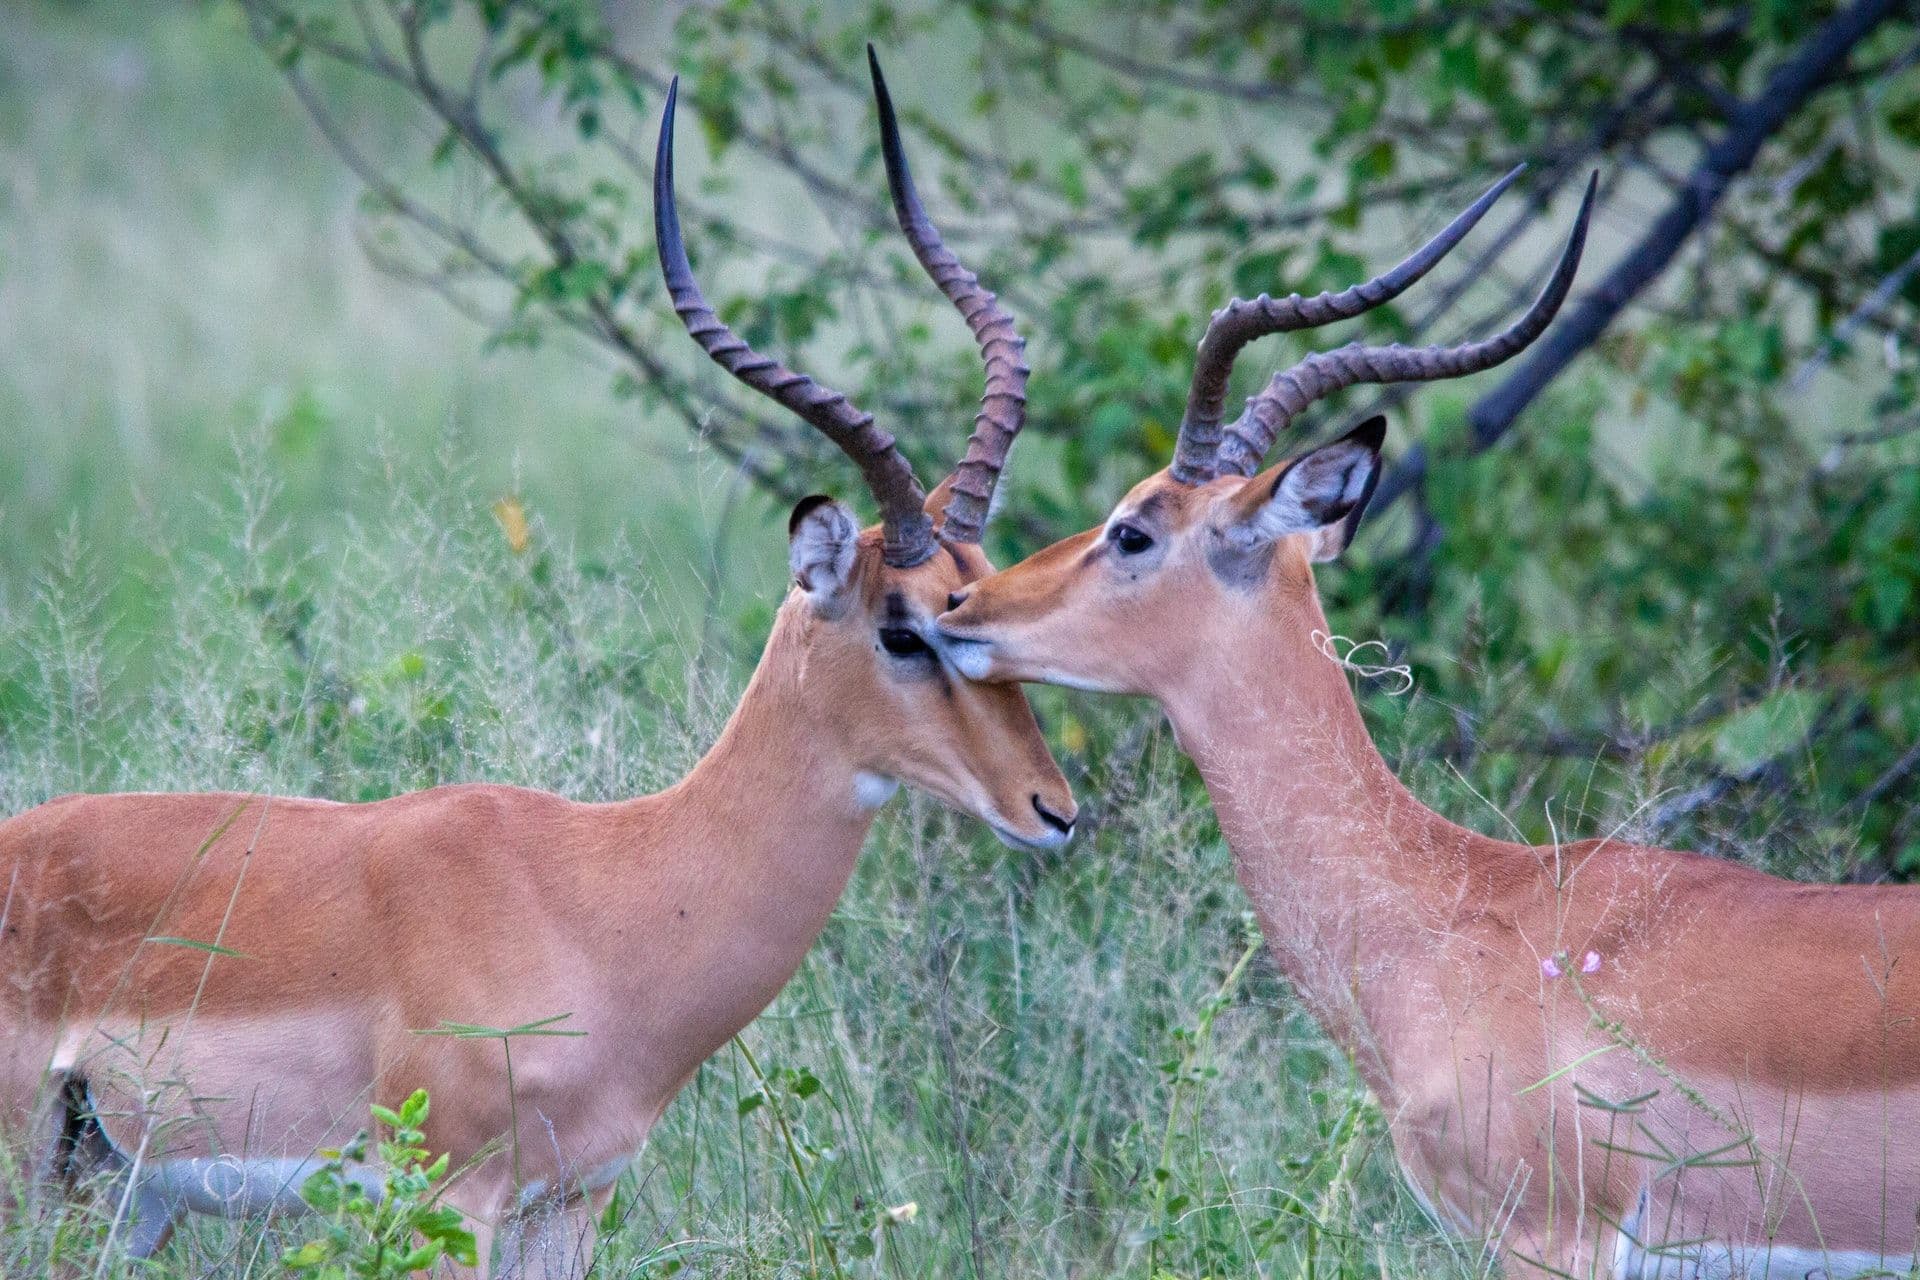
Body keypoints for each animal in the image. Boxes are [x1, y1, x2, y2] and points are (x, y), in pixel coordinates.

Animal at [0, 56, 1076, 1277]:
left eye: (982, 590)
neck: (601, 895)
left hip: (116, 1199)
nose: (1053, 808)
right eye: (902, 628)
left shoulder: (569, 1202)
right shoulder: (447, 1196)